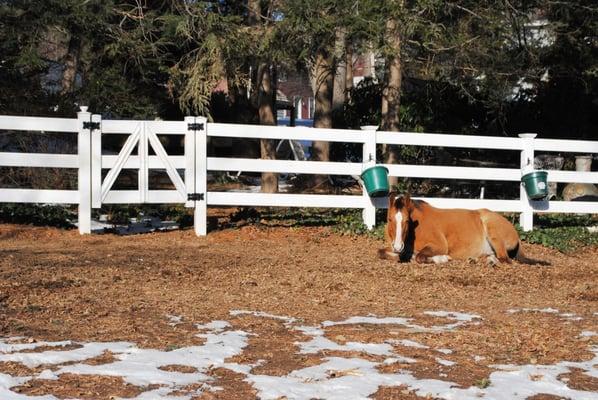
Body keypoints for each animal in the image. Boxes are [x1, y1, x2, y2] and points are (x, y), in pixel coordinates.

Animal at [382, 192, 548, 264]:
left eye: (407, 221)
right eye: (389, 219)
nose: (398, 246)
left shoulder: (439, 246)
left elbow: (420, 257)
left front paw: (442, 258)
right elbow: (381, 253)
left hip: (493, 231)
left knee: (504, 259)